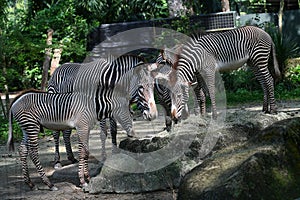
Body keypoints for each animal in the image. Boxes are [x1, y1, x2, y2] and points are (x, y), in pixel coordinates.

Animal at [6, 63, 157, 191]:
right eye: (141, 88)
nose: (132, 134)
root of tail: (16, 100)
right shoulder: (82, 127)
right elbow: (82, 152)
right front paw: (83, 181)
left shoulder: (86, 128)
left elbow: (85, 152)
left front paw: (87, 178)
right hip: (32, 126)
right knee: (33, 151)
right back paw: (49, 183)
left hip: (27, 127)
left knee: (23, 149)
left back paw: (30, 183)